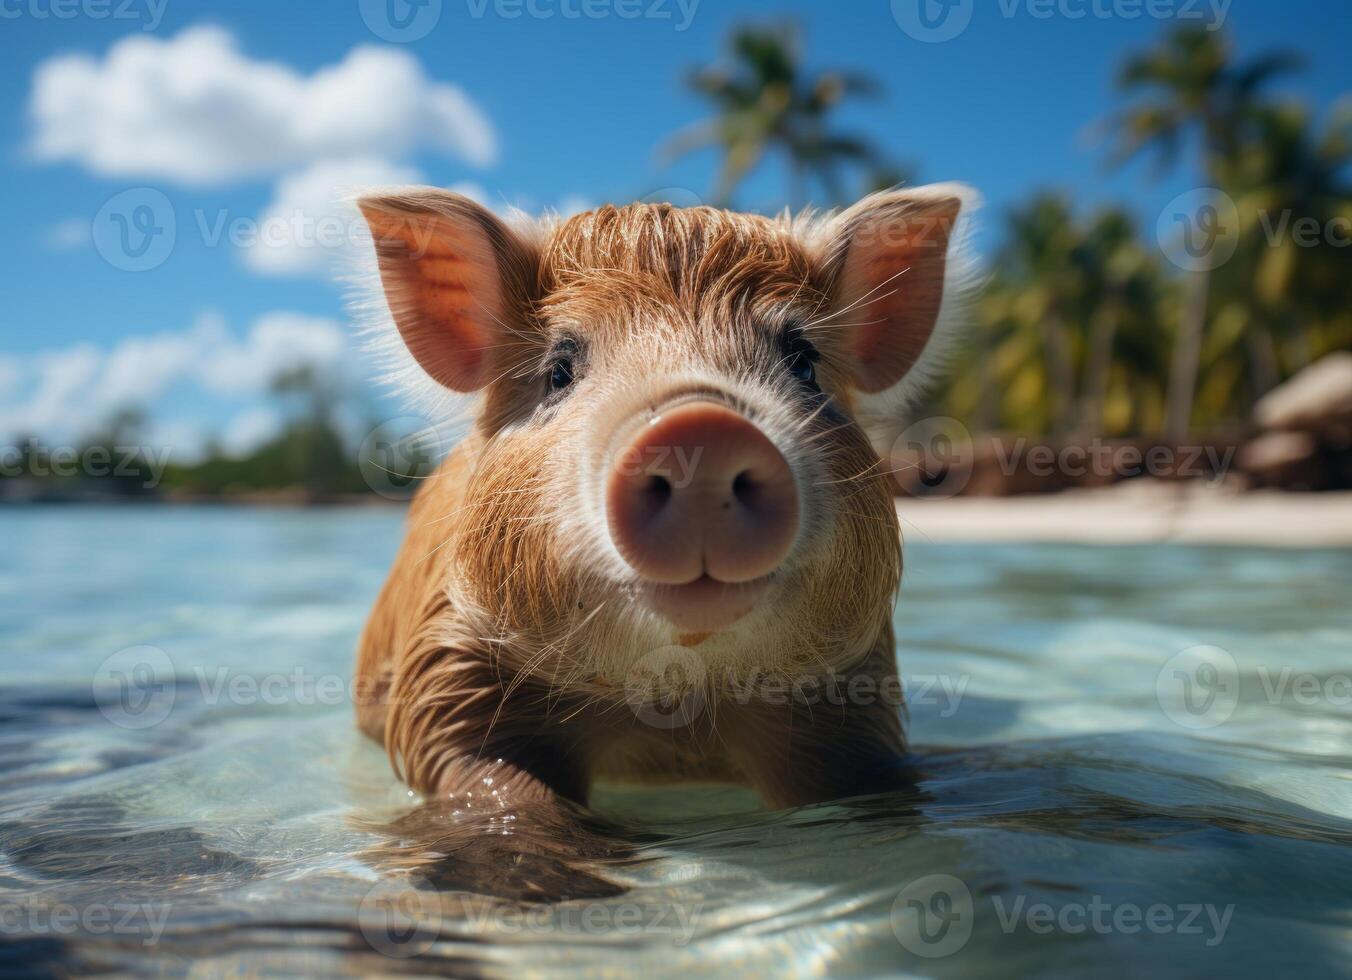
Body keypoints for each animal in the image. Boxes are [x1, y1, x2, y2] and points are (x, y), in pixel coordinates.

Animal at [354, 185, 978, 816]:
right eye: (559, 370)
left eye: (803, 361)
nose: (703, 426)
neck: (676, 708)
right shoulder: (446, 663)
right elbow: (498, 787)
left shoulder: (858, 691)